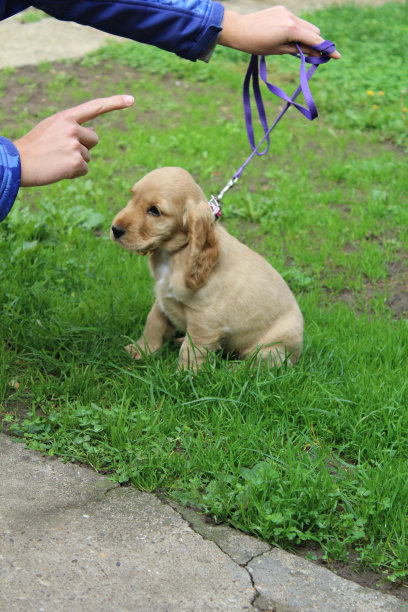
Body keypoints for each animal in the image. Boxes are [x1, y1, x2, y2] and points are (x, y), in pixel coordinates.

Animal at [111, 165, 302, 370]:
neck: (174, 254)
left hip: (273, 346)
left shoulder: (205, 319)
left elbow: (192, 349)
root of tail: (298, 353)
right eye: (132, 196)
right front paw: (142, 350)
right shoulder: (163, 296)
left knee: (256, 364)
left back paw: (232, 369)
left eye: (155, 211)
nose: (115, 229)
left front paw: (184, 374)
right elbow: (153, 321)